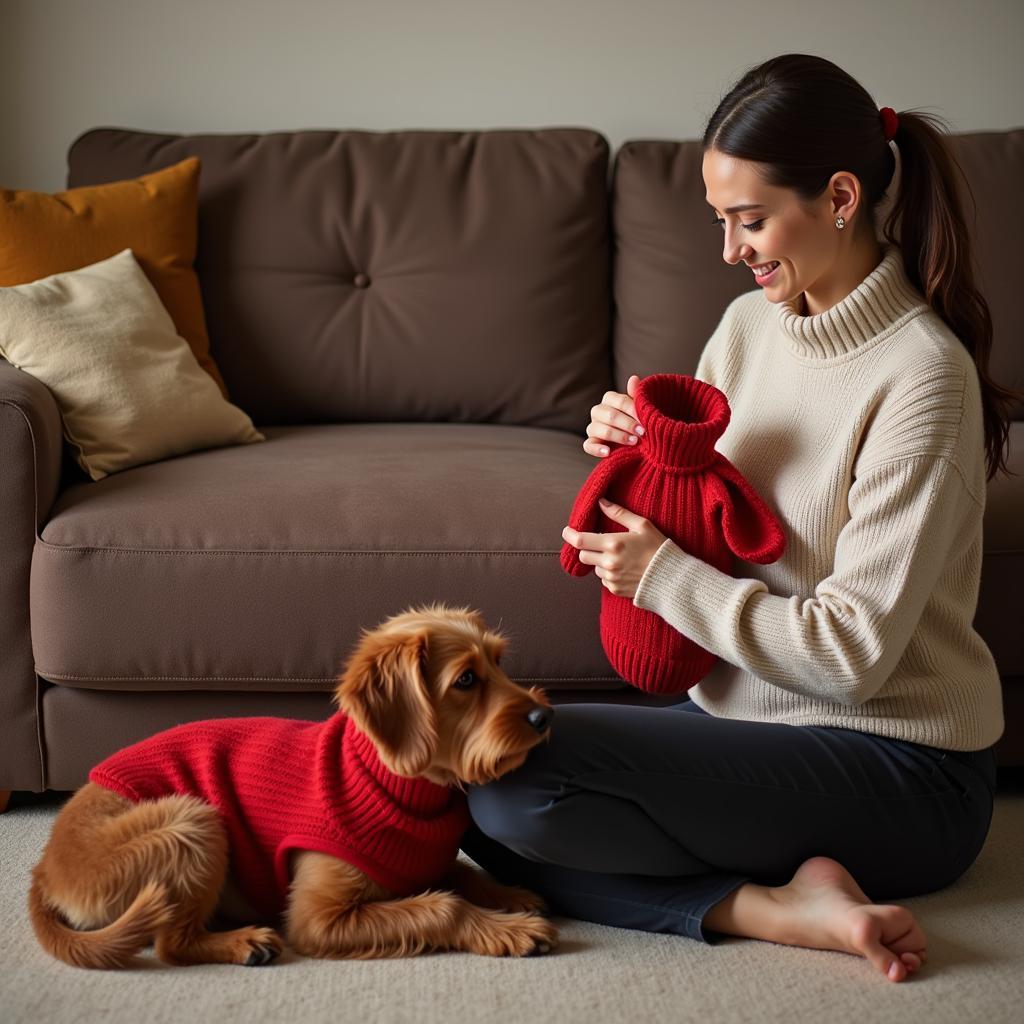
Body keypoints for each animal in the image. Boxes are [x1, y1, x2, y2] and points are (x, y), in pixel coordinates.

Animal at [29, 606, 561, 966]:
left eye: (499, 662)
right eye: (466, 680)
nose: (545, 716)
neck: (389, 780)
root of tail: (46, 868)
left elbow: (460, 873)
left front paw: (507, 893)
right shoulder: (318, 919)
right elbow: (441, 906)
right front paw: (507, 929)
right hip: (193, 819)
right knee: (171, 946)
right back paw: (242, 942)